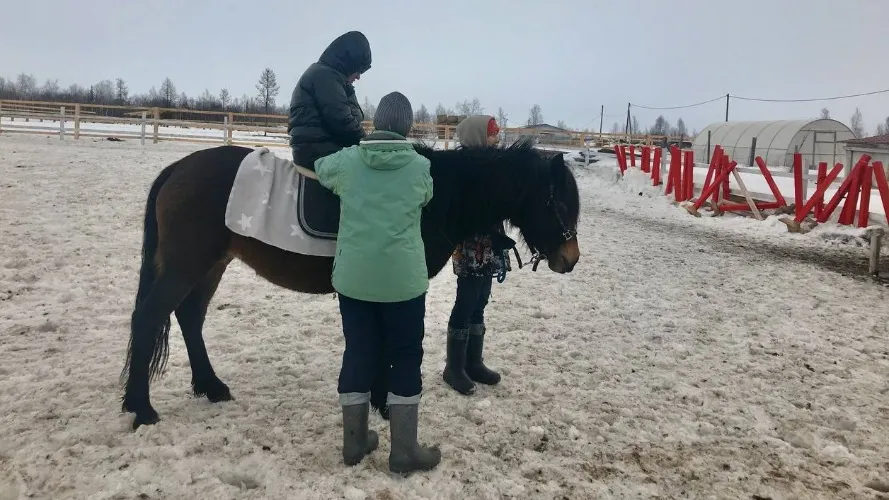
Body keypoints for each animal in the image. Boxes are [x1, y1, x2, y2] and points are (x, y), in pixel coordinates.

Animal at [119, 139, 584, 428]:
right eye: (554, 200)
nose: (571, 258)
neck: (435, 198)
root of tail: (178, 168)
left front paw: (378, 401)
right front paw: (384, 403)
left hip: (211, 264)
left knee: (189, 317)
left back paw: (210, 386)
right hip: (185, 264)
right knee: (148, 318)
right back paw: (141, 408)